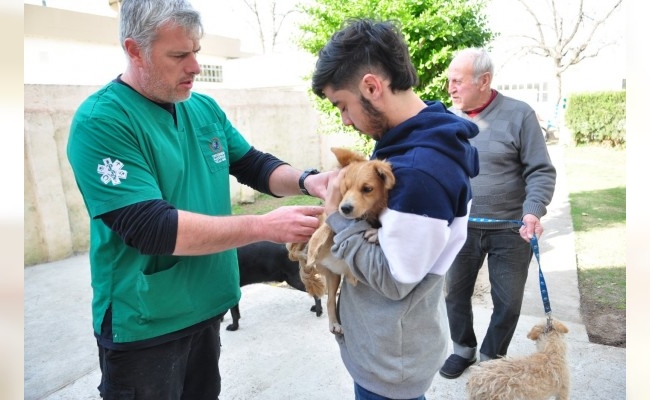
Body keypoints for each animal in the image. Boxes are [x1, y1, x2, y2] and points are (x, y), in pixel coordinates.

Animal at [286, 147, 392, 334]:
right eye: (345, 188)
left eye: (367, 189)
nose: (345, 208)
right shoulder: (329, 213)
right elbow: (325, 228)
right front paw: (314, 246)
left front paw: (375, 233)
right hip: (306, 226)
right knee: (292, 253)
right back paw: (306, 255)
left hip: (334, 277)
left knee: (330, 300)